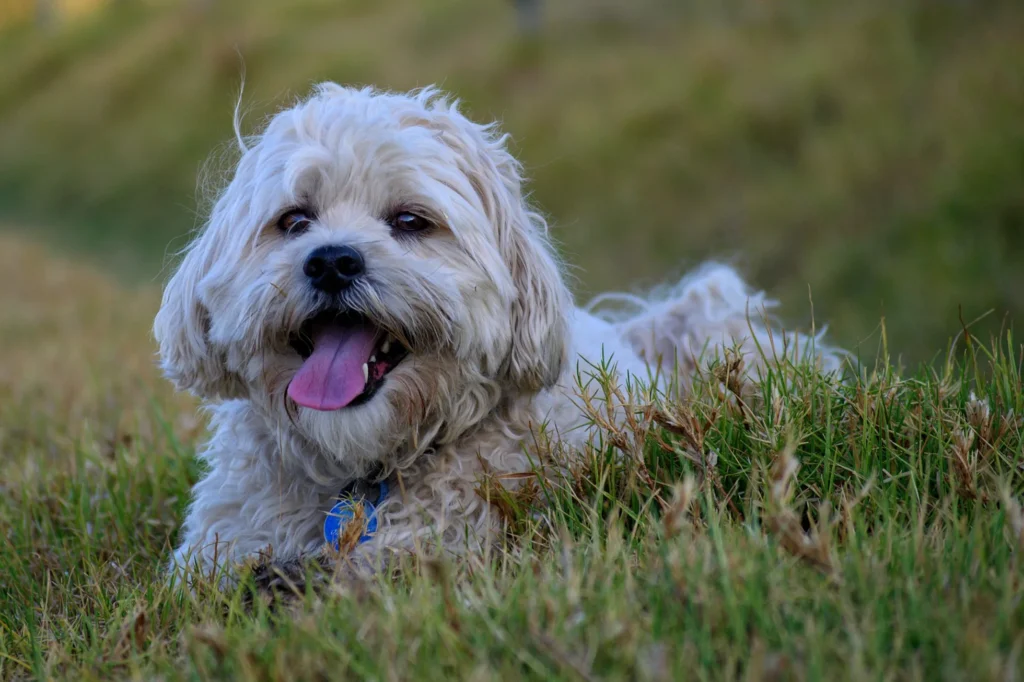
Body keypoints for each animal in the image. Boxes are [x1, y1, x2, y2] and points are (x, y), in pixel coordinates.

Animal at [151, 83, 839, 585]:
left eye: (410, 221)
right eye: (294, 220)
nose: (332, 261)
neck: (363, 474)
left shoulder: (445, 540)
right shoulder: (222, 544)